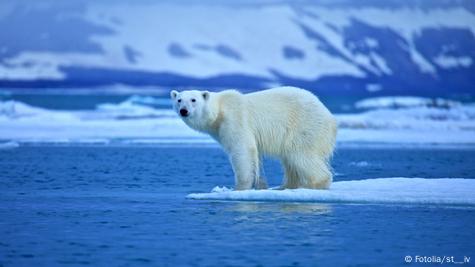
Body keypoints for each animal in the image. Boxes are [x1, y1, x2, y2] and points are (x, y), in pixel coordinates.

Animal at [171, 87, 338, 191]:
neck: (218, 112)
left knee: (301, 155)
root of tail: (330, 117)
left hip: (304, 126)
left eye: (193, 100)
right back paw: (285, 186)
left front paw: (238, 188)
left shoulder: (235, 120)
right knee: (290, 160)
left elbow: (242, 150)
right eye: (179, 100)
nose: (183, 111)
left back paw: (313, 185)